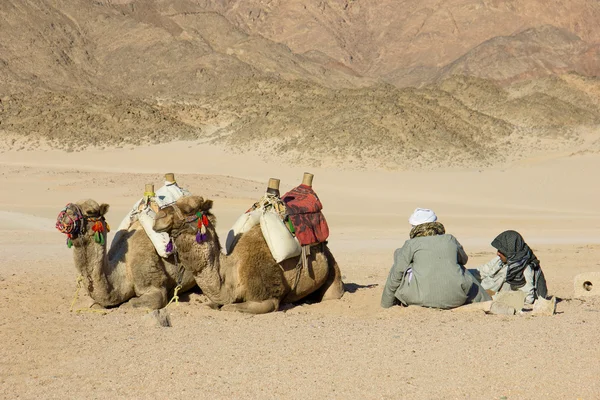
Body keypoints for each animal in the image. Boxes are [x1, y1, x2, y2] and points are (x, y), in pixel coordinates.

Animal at [152, 195, 344, 314]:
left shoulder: (268, 298)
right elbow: (216, 304)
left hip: (332, 268)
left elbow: (228, 308)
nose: (158, 217)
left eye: (189, 209)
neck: (232, 273)